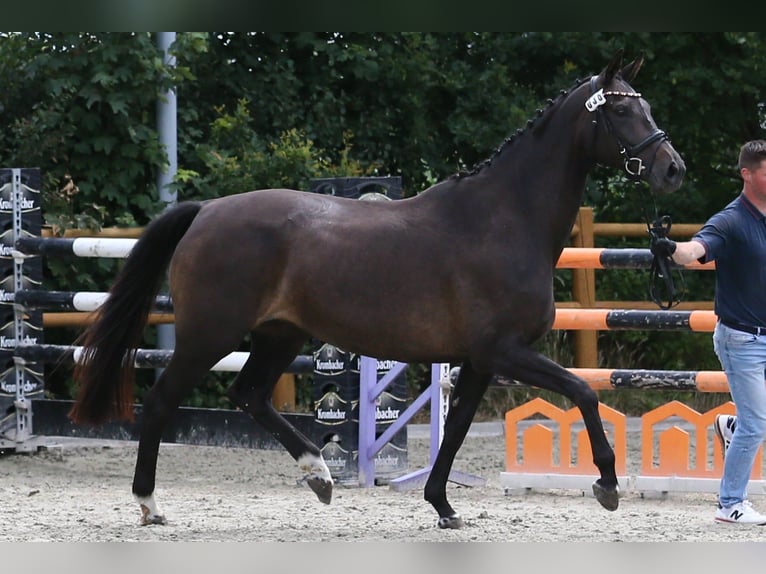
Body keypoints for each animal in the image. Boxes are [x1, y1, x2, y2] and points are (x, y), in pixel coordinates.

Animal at [68, 50, 685, 529]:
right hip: (209, 335)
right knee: (161, 402)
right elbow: (584, 392)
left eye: (649, 107)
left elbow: (457, 429)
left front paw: (442, 506)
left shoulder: (479, 360)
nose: (672, 169)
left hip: (279, 335)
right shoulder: (506, 351)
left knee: (249, 395)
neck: (503, 219)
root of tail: (206, 212)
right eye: (622, 110)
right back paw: (150, 505)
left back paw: (319, 475)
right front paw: (607, 485)